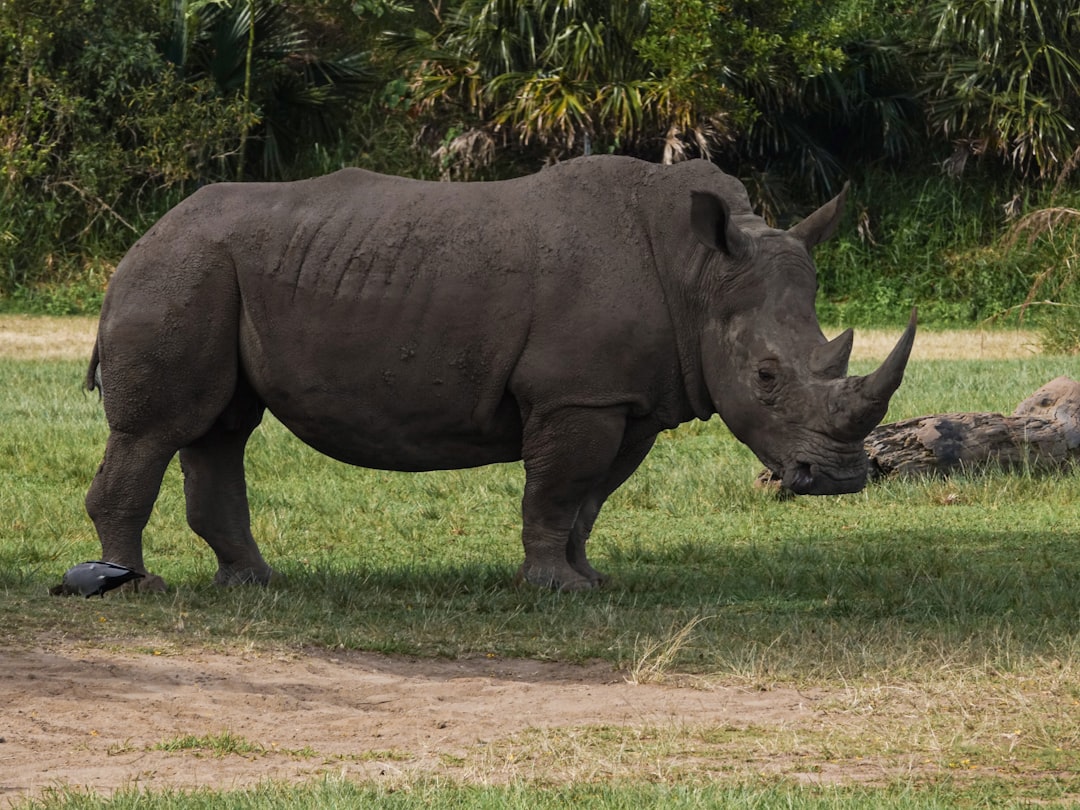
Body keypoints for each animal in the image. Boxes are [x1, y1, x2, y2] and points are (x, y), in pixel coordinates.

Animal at [85, 155, 916, 592]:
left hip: (209, 269)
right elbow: (555, 491)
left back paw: (255, 583)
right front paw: (555, 589)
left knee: (221, 429)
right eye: (767, 377)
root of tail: (142, 237)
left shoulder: (626, 399)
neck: (699, 275)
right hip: (182, 268)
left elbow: (588, 501)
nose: (840, 479)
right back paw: (131, 585)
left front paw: (588, 581)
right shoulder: (576, 395)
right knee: (160, 429)